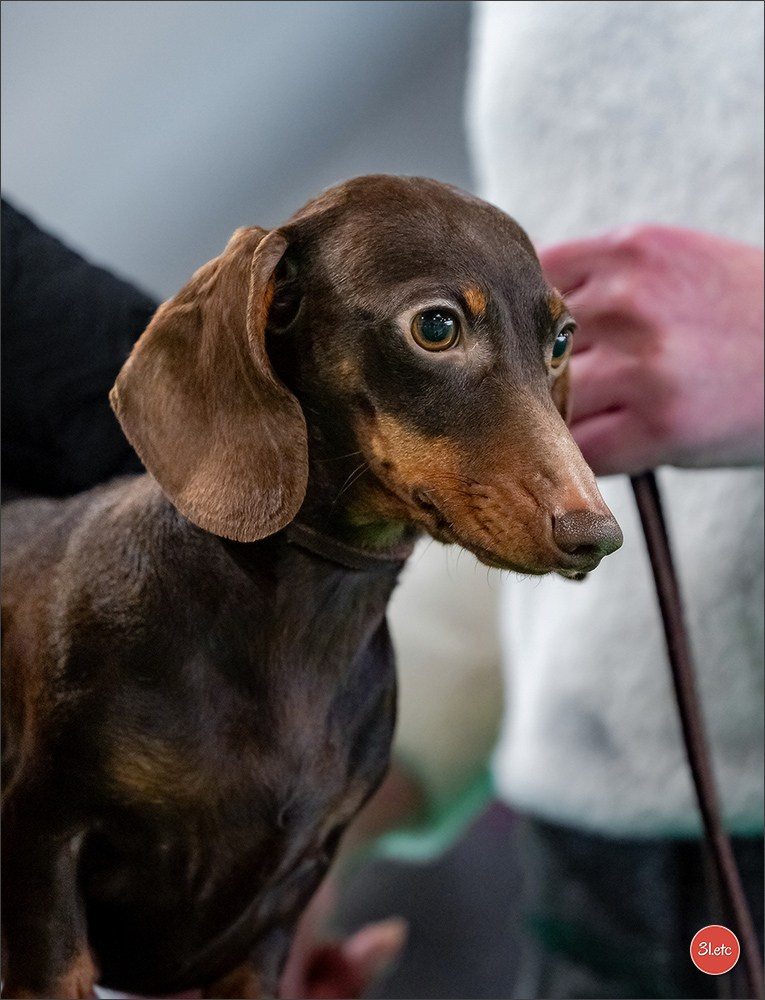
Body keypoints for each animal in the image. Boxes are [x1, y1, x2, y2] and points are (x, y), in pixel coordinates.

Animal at [1, 175, 622, 999]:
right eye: (436, 327)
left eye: (560, 339)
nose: (597, 536)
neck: (298, 627)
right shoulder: (42, 835)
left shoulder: (270, 925)